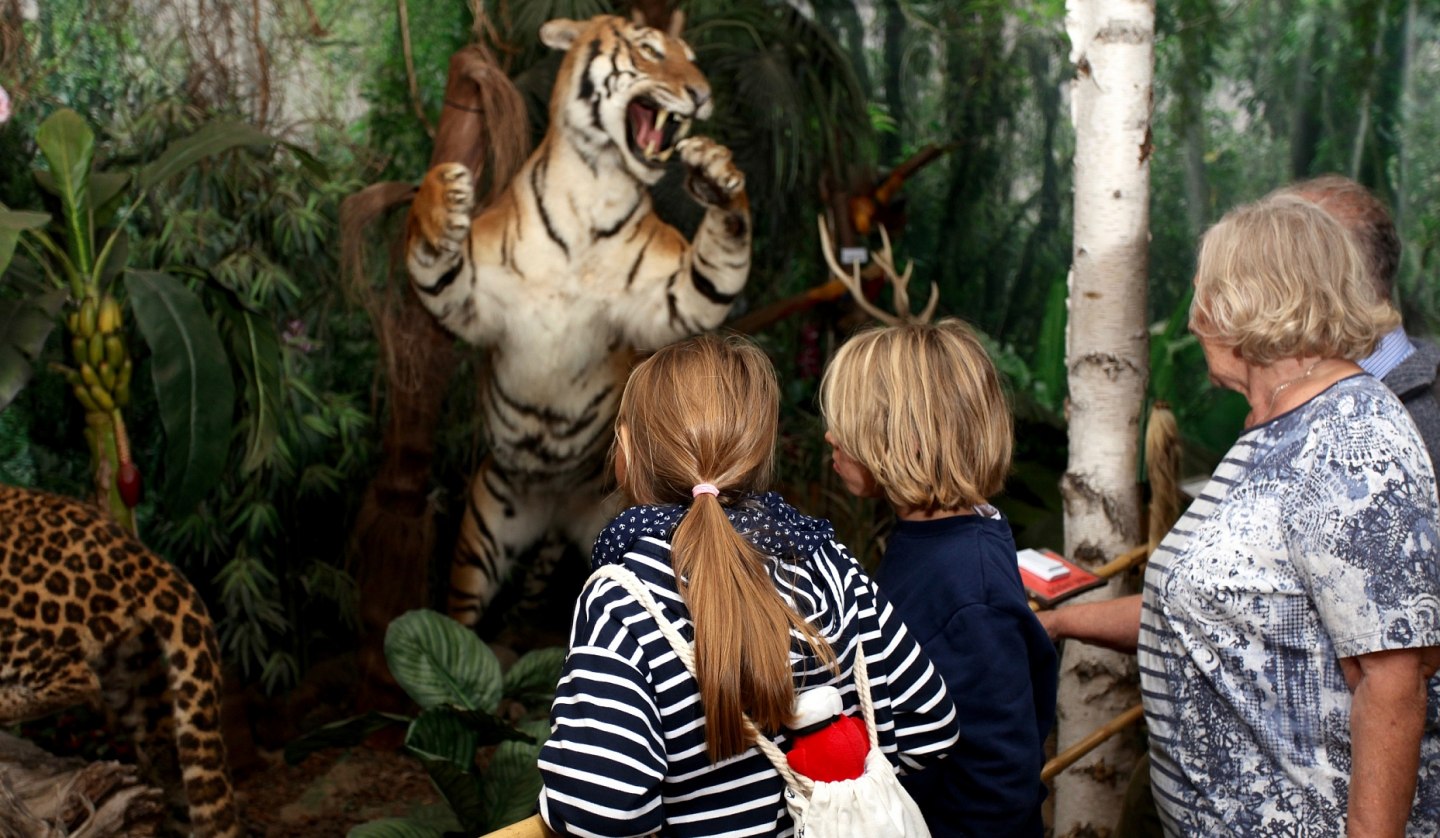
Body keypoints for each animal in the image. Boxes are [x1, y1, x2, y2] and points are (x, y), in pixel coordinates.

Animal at [406, 14, 754, 630]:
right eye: (649, 50)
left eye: (692, 60)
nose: (701, 93)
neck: (597, 186)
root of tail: (554, 506)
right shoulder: (471, 297)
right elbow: (430, 257)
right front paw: (444, 192)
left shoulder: (670, 298)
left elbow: (719, 261)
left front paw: (717, 176)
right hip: (484, 529)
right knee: (461, 622)